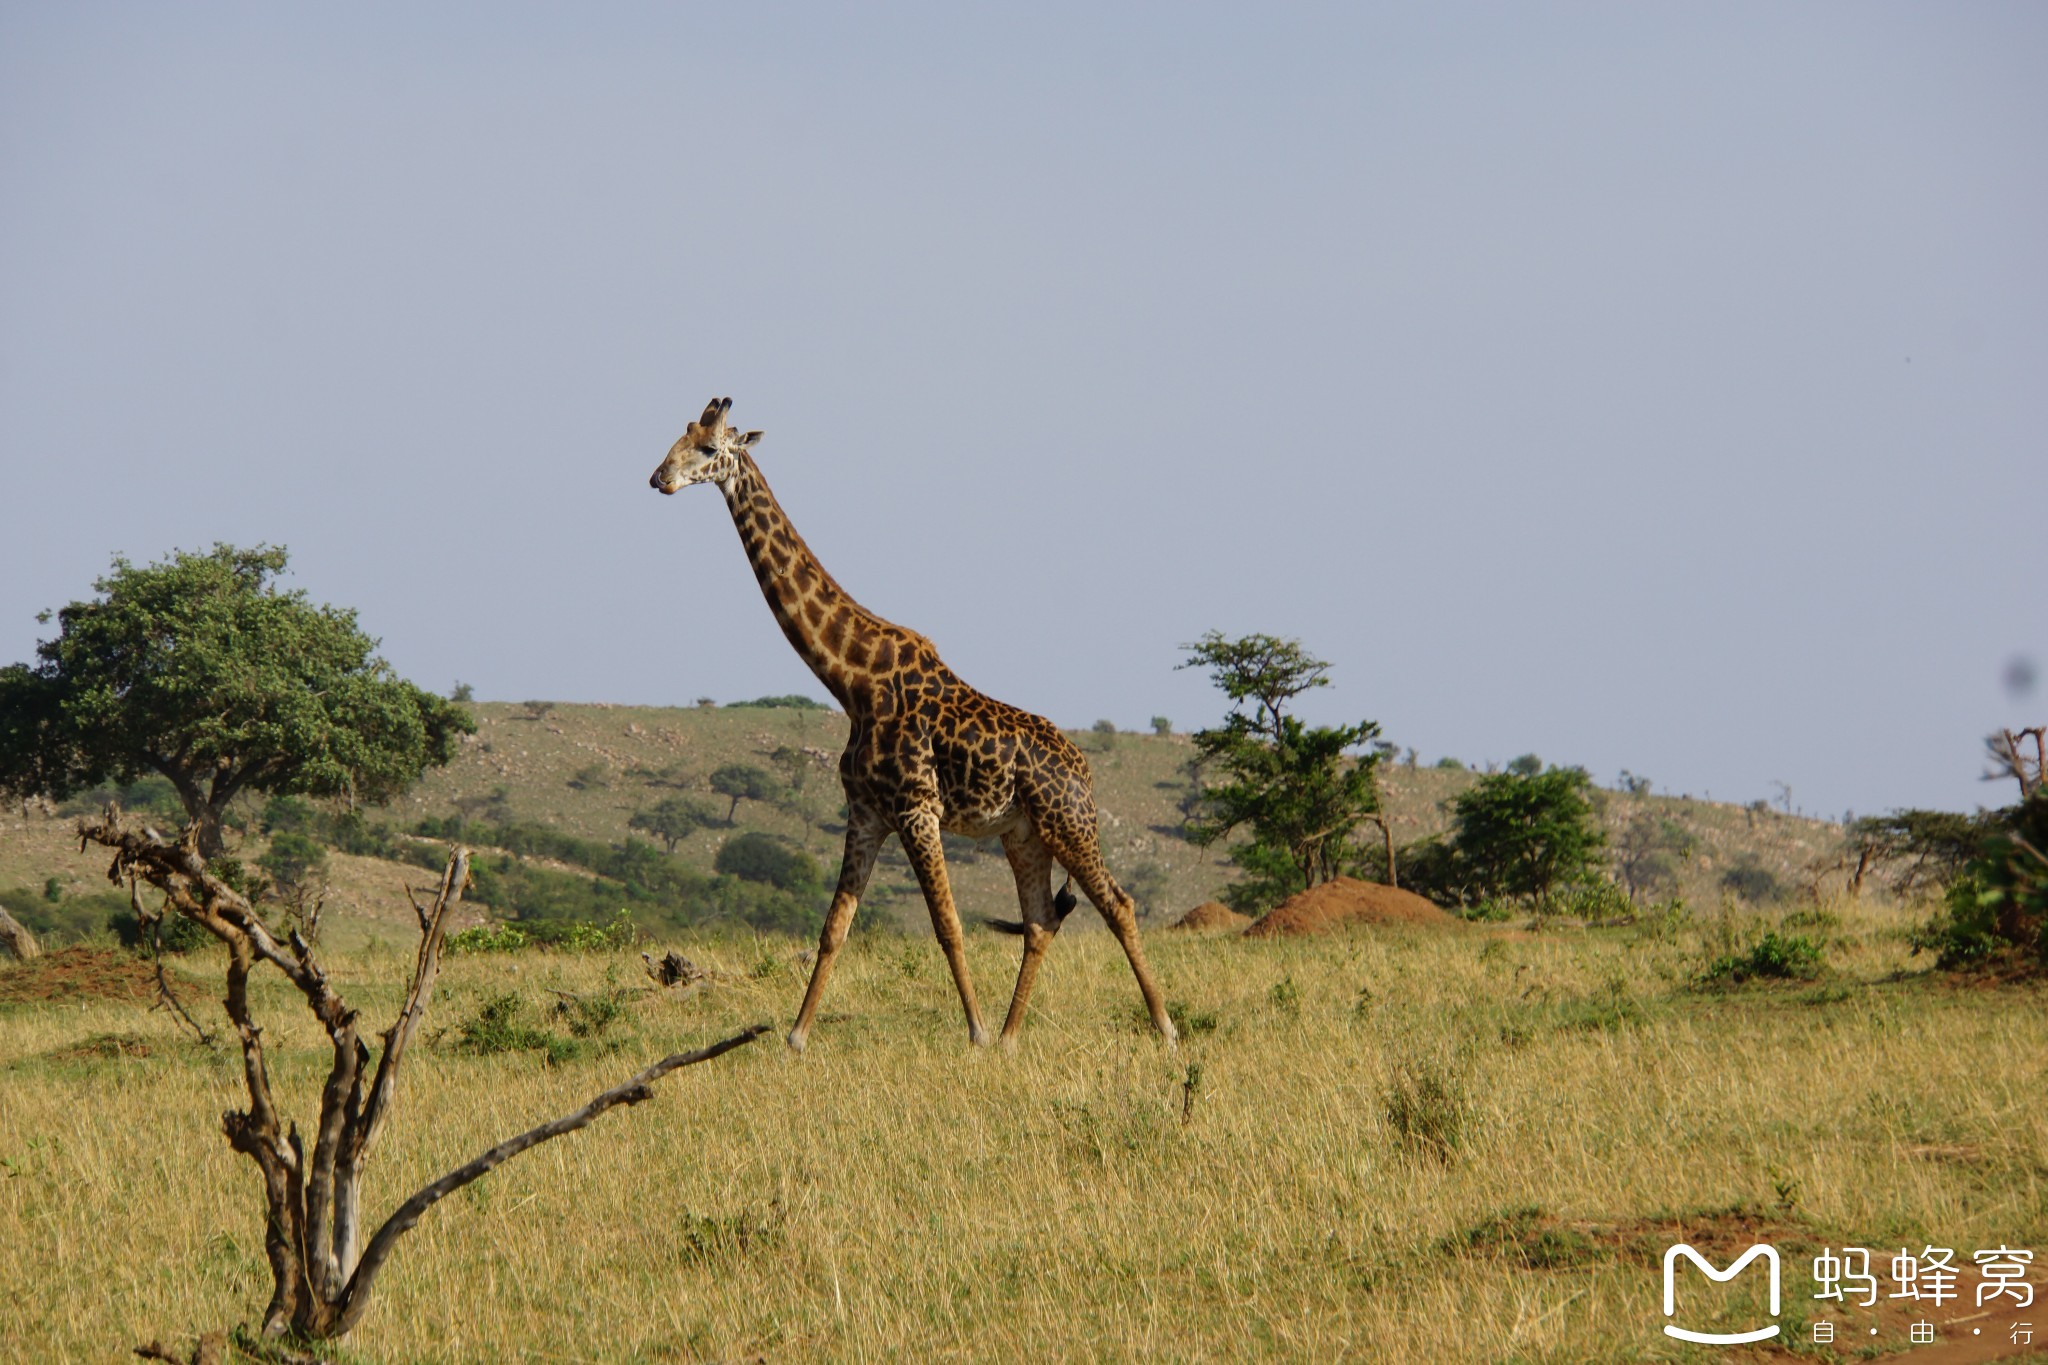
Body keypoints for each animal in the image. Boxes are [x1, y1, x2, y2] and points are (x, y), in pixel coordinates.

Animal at [647, 401, 1179, 1055]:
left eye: (707, 448)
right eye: (679, 438)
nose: (658, 478)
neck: (851, 681)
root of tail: (1084, 769)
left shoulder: (917, 807)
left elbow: (947, 926)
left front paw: (974, 1033)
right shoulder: (866, 812)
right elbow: (834, 928)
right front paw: (796, 1037)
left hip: (1069, 824)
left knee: (1119, 904)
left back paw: (1163, 1028)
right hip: (1023, 834)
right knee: (1040, 919)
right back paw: (1012, 1037)